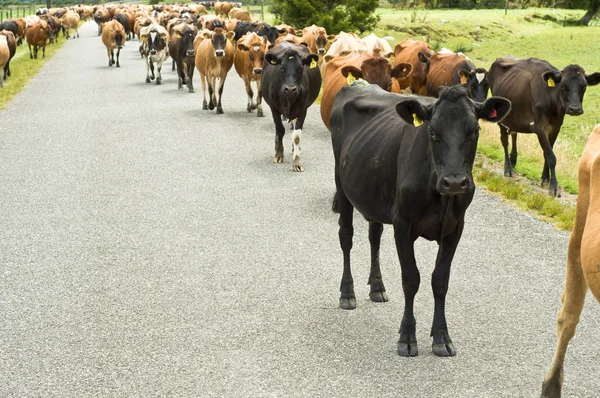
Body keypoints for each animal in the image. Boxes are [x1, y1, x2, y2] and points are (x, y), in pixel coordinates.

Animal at [262, 42, 322, 173]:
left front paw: (297, 161)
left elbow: (296, 136)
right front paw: (279, 155)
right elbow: (280, 130)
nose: (290, 89)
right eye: (282, 68)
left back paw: (295, 149)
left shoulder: (303, 108)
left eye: (300, 68)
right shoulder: (274, 108)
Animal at [330, 84, 508, 358]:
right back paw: (348, 292)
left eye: (475, 131)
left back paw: (377, 287)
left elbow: (440, 280)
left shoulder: (455, 228)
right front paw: (407, 337)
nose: (454, 182)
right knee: (346, 236)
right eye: (432, 131)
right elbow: (411, 279)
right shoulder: (403, 223)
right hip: (342, 185)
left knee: (374, 236)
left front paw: (442, 337)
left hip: (373, 193)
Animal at [488, 56, 600, 197]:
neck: (552, 101)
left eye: (584, 86)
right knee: (504, 141)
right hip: (500, 116)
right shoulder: (540, 128)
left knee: (514, 134)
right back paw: (508, 169)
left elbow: (547, 153)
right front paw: (554, 186)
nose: (575, 109)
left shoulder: (556, 128)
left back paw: (513, 161)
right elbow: (551, 156)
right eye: (562, 86)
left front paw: (545, 179)